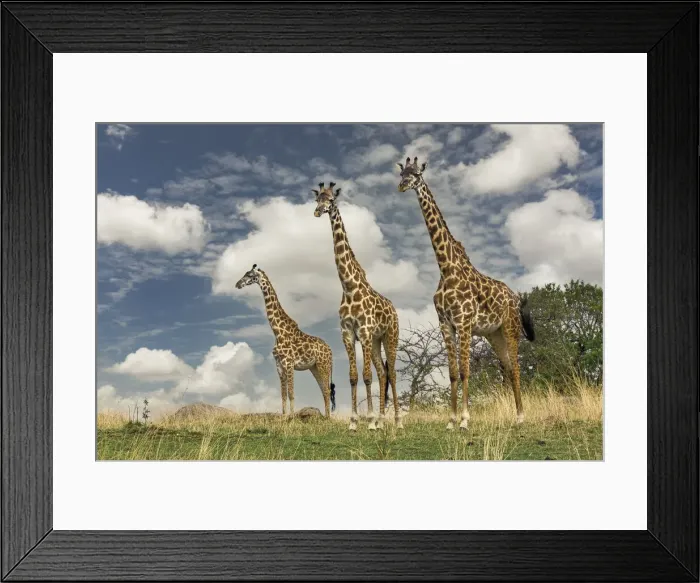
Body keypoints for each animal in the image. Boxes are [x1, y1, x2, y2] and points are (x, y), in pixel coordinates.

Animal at [235, 264, 336, 418]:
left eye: (250, 275)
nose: (237, 284)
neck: (277, 332)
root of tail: (330, 351)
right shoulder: (279, 365)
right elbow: (283, 394)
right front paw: (283, 417)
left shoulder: (289, 363)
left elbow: (291, 393)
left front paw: (292, 417)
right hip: (314, 368)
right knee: (324, 390)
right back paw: (325, 417)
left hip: (323, 365)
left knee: (327, 390)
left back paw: (328, 418)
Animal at [312, 182, 402, 431]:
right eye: (316, 199)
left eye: (331, 200)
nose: (317, 212)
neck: (349, 287)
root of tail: (394, 310)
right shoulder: (348, 333)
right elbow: (354, 376)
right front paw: (354, 422)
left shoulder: (364, 331)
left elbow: (366, 376)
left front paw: (369, 421)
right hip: (376, 341)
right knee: (383, 373)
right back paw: (382, 420)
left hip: (390, 336)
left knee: (392, 373)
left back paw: (397, 421)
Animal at [397, 157, 536, 430]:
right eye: (402, 173)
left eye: (416, 174)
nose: (402, 186)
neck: (445, 267)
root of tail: (516, 299)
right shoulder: (445, 324)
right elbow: (452, 373)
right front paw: (451, 421)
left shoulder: (464, 323)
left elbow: (464, 371)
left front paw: (464, 420)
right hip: (494, 335)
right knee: (506, 367)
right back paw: (513, 415)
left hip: (511, 328)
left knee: (516, 367)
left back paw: (521, 417)